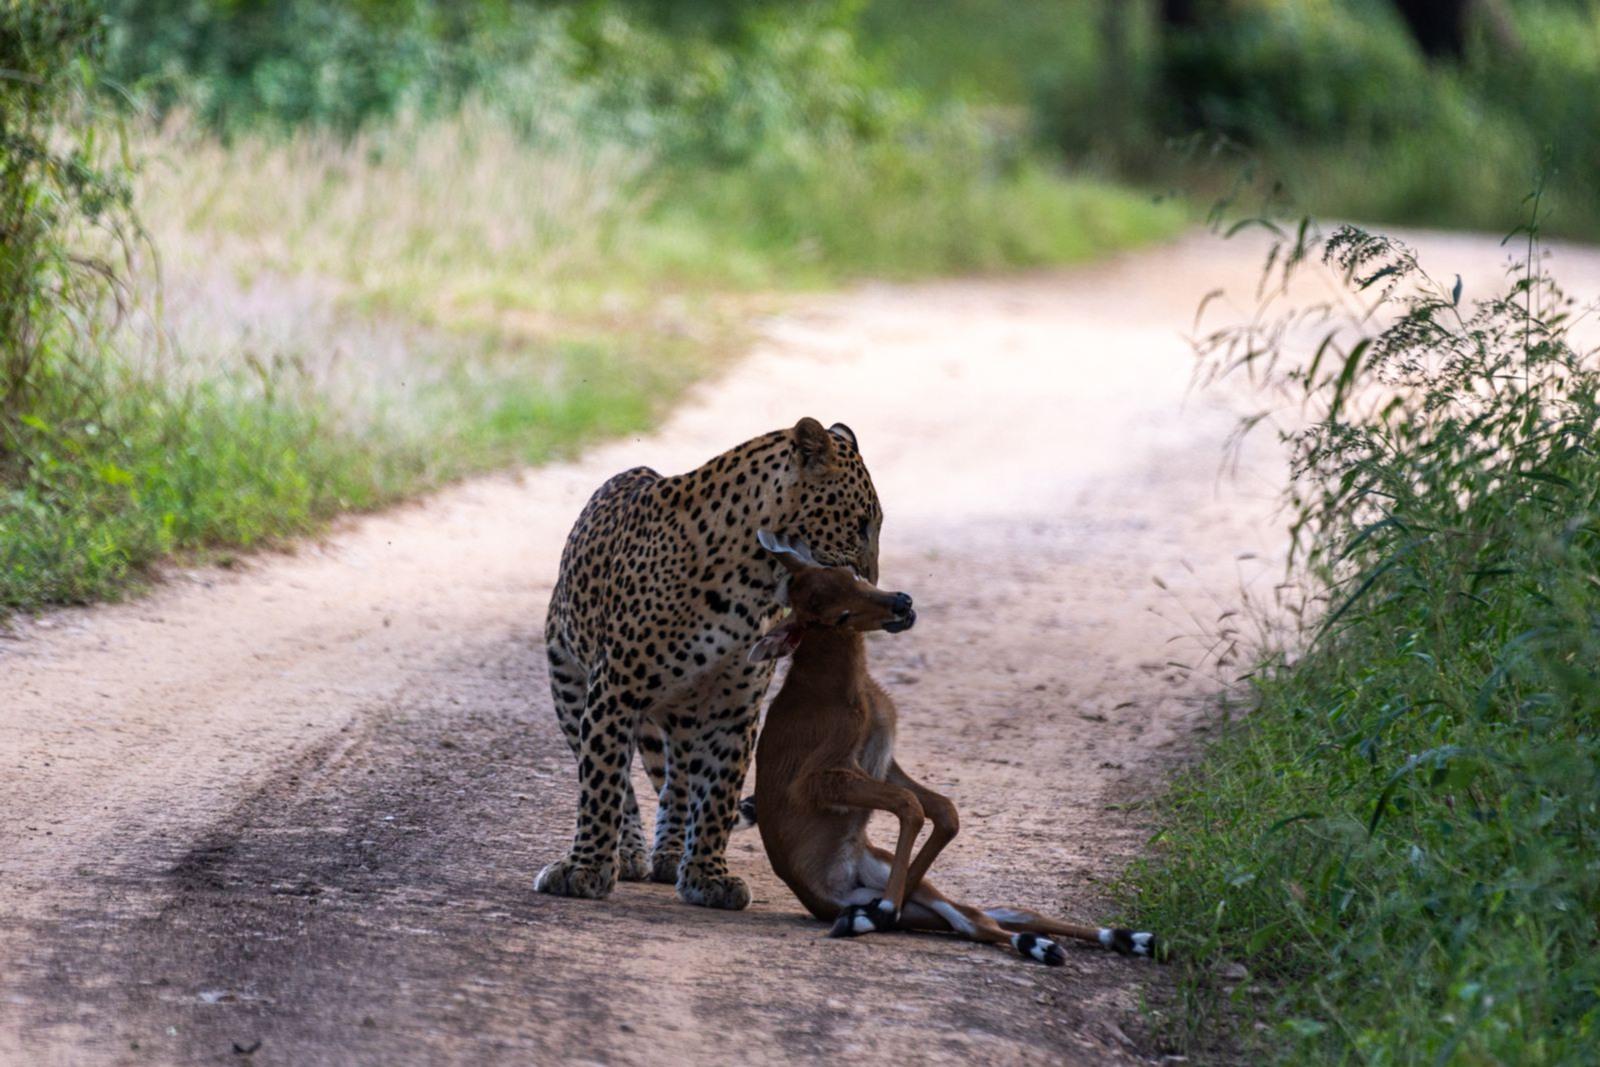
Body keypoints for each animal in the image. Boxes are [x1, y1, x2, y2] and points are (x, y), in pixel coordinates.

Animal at [536, 417, 883, 910]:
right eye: (860, 524)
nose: (871, 579)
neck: (747, 581)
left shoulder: (734, 708)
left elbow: (718, 792)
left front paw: (706, 875)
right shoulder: (613, 692)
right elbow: (602, 784)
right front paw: (585, 869)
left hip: (683, 717)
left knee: (677, 782)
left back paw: (669, 854)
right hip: (568, 685)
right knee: (624, 783)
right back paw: (631, 852)